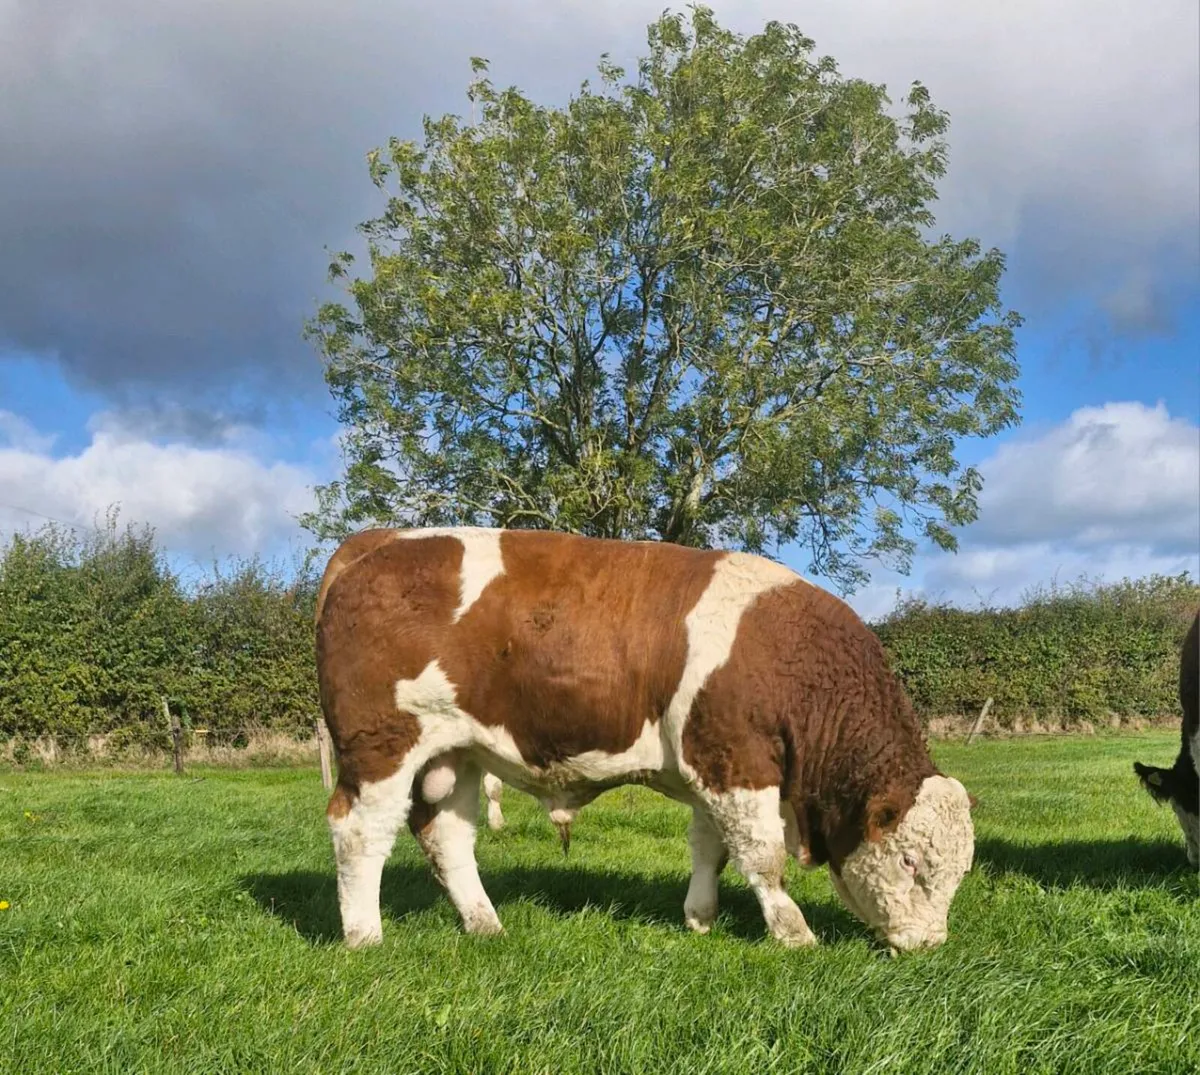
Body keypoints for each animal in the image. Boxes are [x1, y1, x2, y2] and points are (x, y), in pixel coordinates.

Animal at [314, 527, 977, 953]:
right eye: (912, 861)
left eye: (962, 870)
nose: (930, 945)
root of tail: (376, 541)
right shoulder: (737, 761)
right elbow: (763, 856)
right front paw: (795, 935)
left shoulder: (710, 764)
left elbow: (711, 848)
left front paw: (701, 919)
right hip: (382, 746)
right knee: (359, 833)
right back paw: (365, 938)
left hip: (456, 755)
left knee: (448, 837)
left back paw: (485, 925)